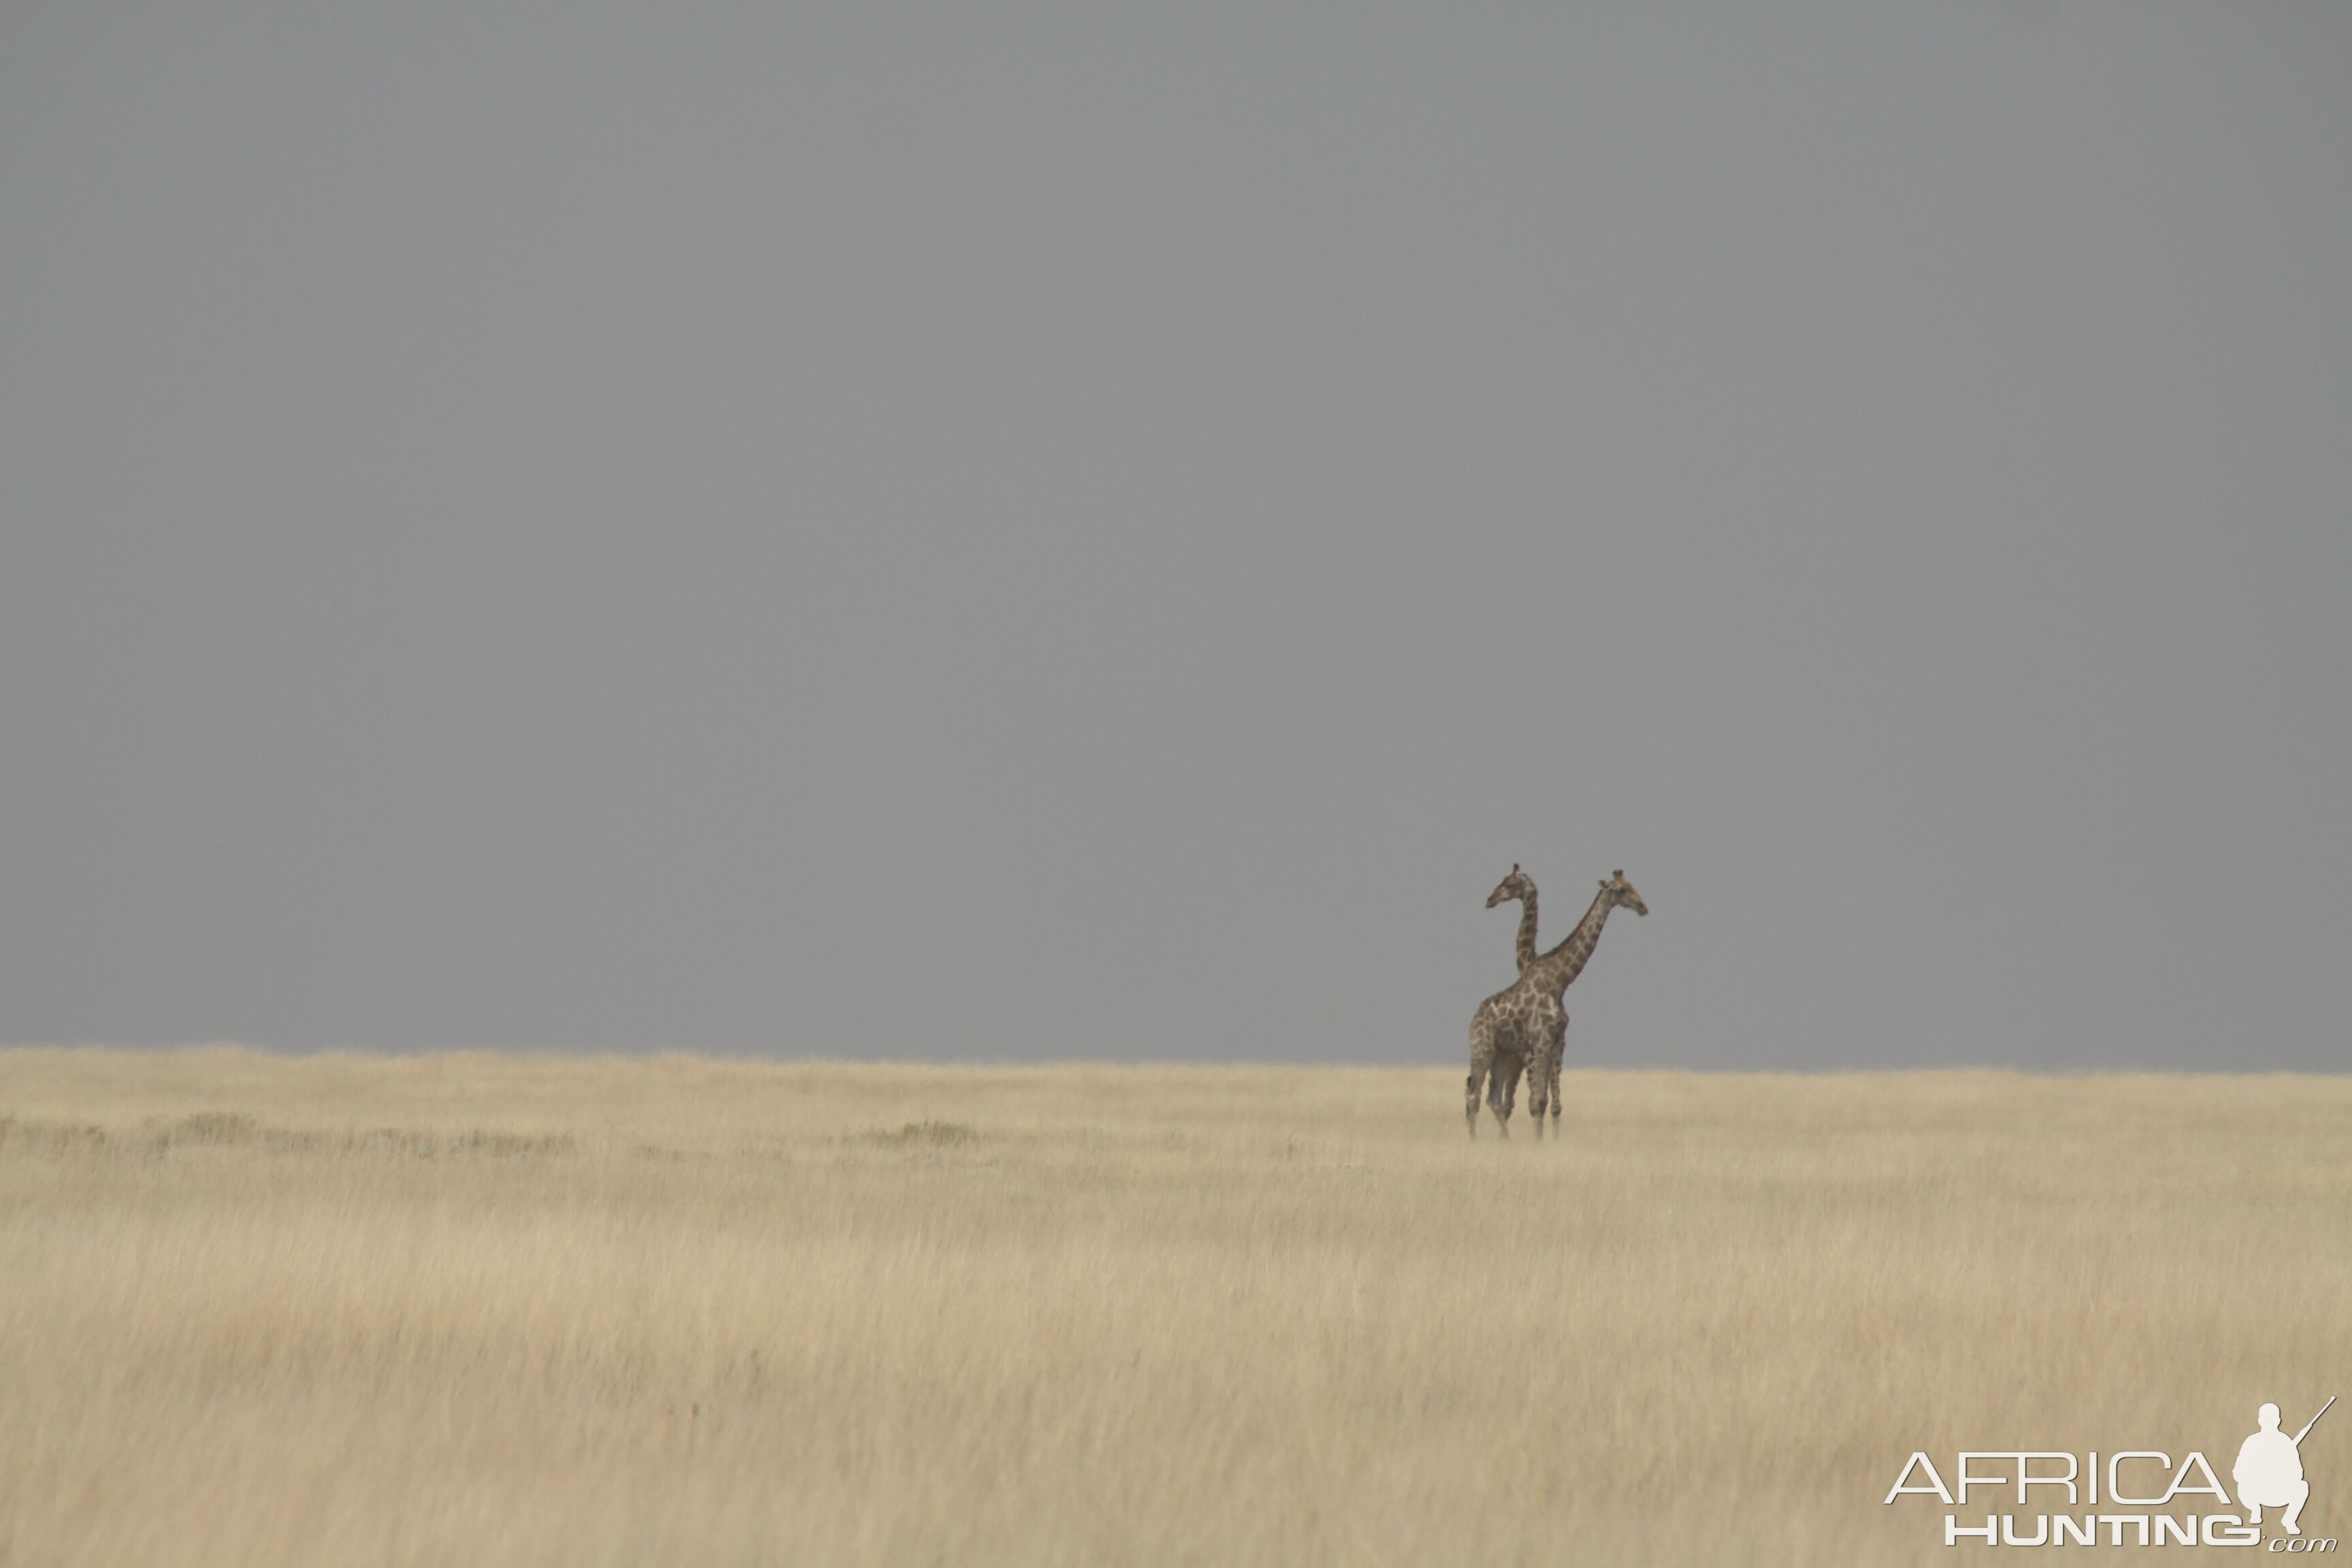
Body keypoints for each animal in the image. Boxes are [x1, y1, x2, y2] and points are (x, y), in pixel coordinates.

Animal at [1458, 870, 1646, 1142]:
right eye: (1621, 890)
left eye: (1631, 886)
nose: (1643, 907)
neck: (1559, 982)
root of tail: (1474, 1018)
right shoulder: (1540, 1041)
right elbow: (1537, 1101)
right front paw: (1539, 1142)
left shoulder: (1557, 1042)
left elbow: (1551, 1103)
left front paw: (1551, 1141)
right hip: (1482, 1049)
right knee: (1474, 1097)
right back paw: (1473, 1142)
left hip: (1501, 1054)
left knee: (1493, 1099)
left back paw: (1504, 1141)